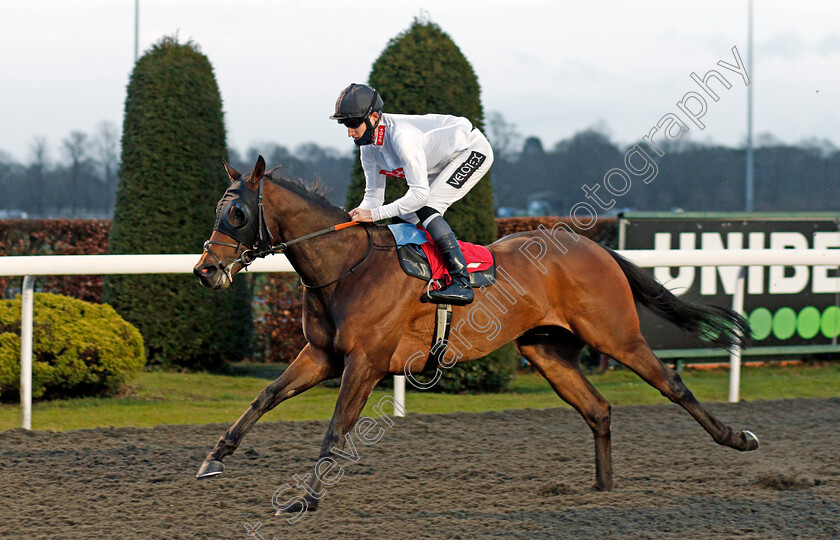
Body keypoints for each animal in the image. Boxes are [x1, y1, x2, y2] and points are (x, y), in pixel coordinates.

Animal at [194, 155, 756, 516]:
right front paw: (212, 458)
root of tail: (594, 246)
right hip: (546, 351)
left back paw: (737, 438)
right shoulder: (323, 356)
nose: (205, 270)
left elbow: (335, 431)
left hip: (617, 337)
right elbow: (266, 396)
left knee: (673, 387)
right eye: (217, 209)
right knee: (598, 409)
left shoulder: (365, 362)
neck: (346, 265)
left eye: (238, 213)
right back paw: (603, 488)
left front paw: (305, 499)